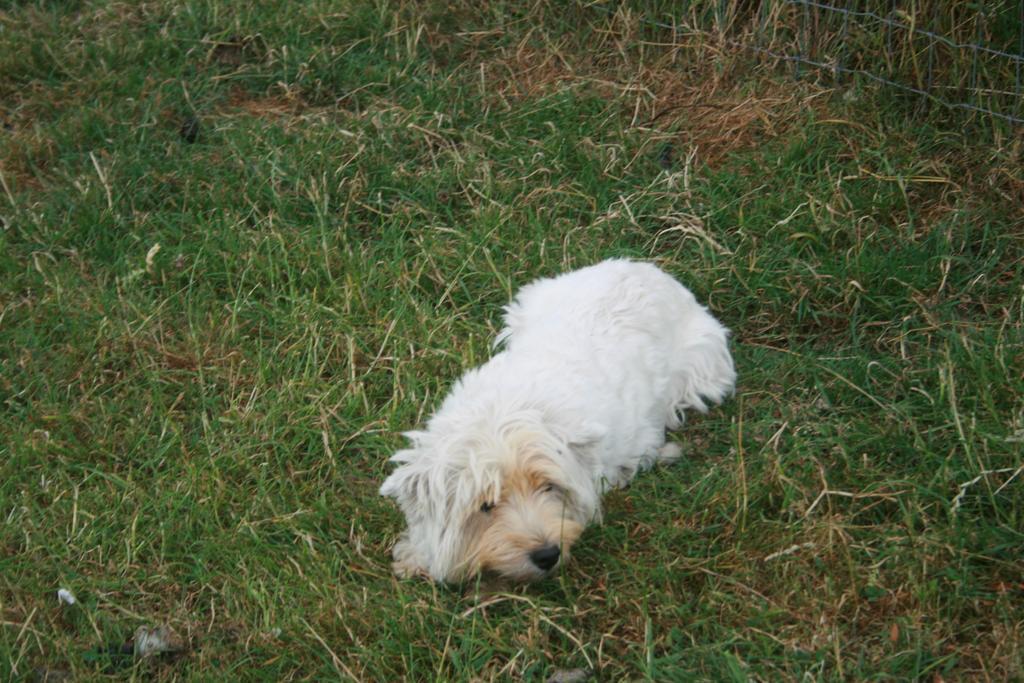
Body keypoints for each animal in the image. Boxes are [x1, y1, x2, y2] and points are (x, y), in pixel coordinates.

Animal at [380, 259, 733, 585]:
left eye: (549, 487)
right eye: (486, 506)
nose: (547, 555)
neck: (502, 412)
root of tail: (648, 269)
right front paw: (416, 555)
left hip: (701, 370)